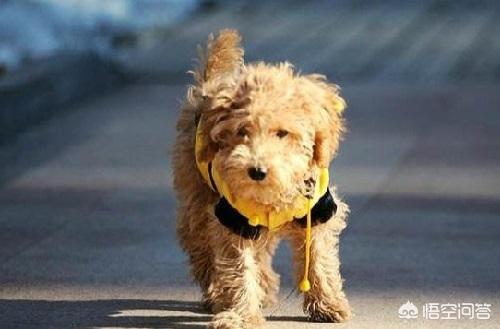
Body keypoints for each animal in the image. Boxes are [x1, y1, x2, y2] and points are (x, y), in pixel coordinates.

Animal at [174, 29, 350, 326]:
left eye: (282, 133)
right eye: (242, 131)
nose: (257, 171)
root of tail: (208, 86)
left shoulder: (317, 209)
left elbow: (318, 258)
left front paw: (328, 304)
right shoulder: (232, 218)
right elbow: (239, 268)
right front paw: (242, 315)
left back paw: (264, 287)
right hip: (197, 197)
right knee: (201, 245)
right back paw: (216, 292)